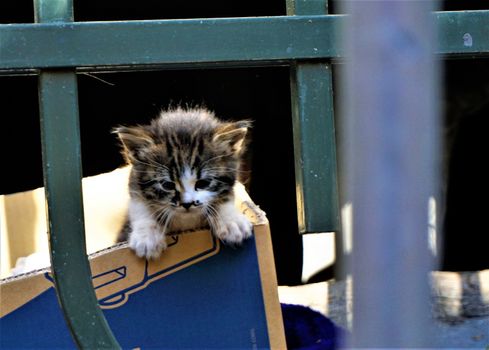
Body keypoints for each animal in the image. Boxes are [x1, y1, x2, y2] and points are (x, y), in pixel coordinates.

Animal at [113, 108, 252, 258]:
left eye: (203, 183)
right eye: (167, 185)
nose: (187, 204)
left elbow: (226, 195)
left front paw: (231, 220)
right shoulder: (135, 182)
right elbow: (139, 205)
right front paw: (147, 236)